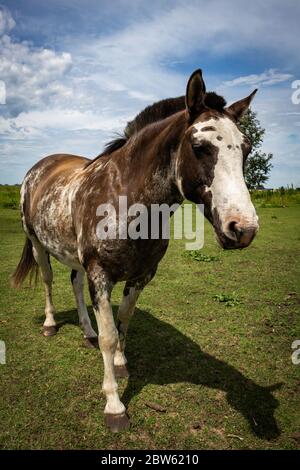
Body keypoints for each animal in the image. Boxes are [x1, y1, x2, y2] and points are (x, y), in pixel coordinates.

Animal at [11, 68, 258, 432]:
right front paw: (114, 405)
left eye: (246, 149)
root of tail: (39, 167)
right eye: (199, 147)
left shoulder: (141, 275)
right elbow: (109, 335)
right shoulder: (100, 275)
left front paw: (119, 362)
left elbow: (122, 322)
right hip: (39, 244)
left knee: (74, 284)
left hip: (75, 258)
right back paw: (50, 324)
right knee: (48, 281)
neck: (127, 197)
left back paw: (86, 331)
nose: (243, 228)